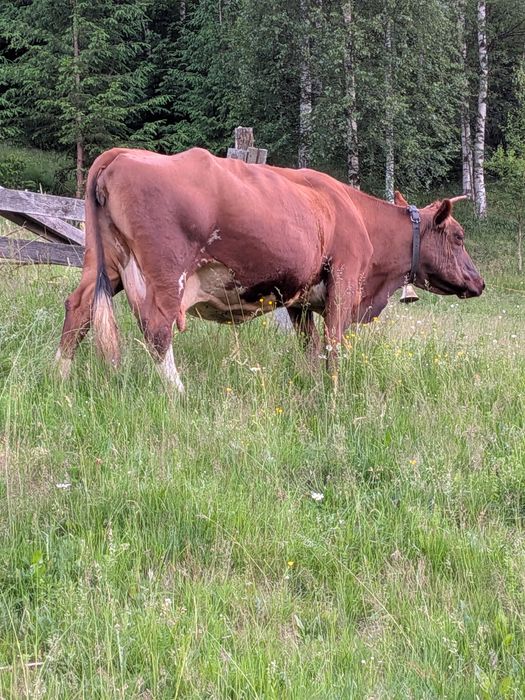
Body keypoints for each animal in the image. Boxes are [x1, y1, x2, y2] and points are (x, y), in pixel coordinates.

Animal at [56, 147, 484, 392]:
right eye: (459, 236)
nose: (479, 282)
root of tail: (121, 154)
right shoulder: (345, 282)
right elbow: (333, 345)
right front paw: (334, 394)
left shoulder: (300, 300)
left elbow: (310, 348)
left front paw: (311, 385)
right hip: (165, 273)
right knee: (157, 326)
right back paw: (178, 392)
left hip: (105, 264)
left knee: (79, 308)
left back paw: (59, 376)